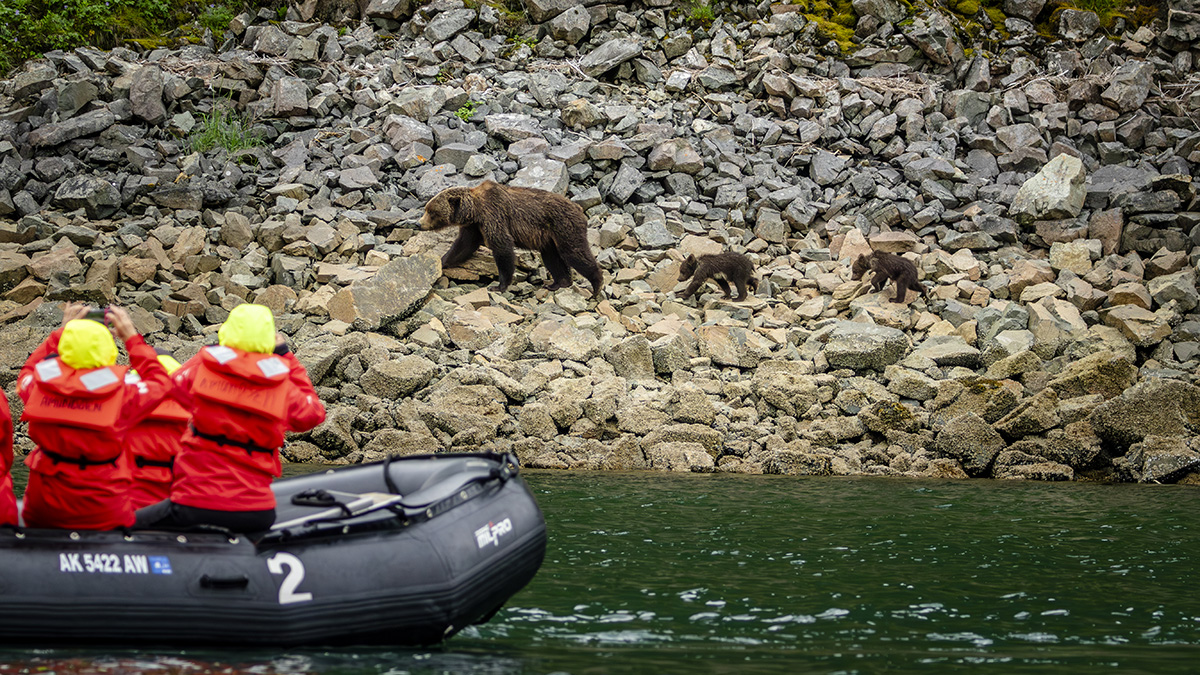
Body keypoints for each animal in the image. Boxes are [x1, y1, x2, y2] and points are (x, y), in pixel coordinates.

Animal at [420, 181, 603, 297]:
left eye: (431, 211)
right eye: (426, 209)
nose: (419, 223)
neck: (475, 211)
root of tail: (579, 208)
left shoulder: (494, 215)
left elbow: (502, 247)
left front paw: (498, 286)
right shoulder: (473, 227)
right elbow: (462, 246)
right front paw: (440, 263)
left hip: (564, 226)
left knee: (574, 252)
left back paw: (596, 284)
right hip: (549, 239)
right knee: (552, 258)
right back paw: (557, 283)